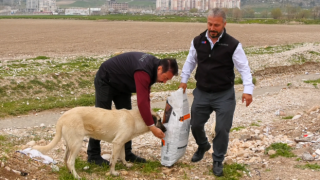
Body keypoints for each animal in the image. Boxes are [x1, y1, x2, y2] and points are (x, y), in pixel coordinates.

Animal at [32, 107, 166, 179]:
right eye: (159, 120)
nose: (165, 130)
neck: (135, 118)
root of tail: (62, 118)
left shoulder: (121, 143)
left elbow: (122, 156)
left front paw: (126, 164)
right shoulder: (117, 143)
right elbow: (113, 160)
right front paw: (113, 173)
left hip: (69, 144)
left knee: (66, 159)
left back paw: (70, 173)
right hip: (77, 144)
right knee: (70, 161)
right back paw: (76, 176)